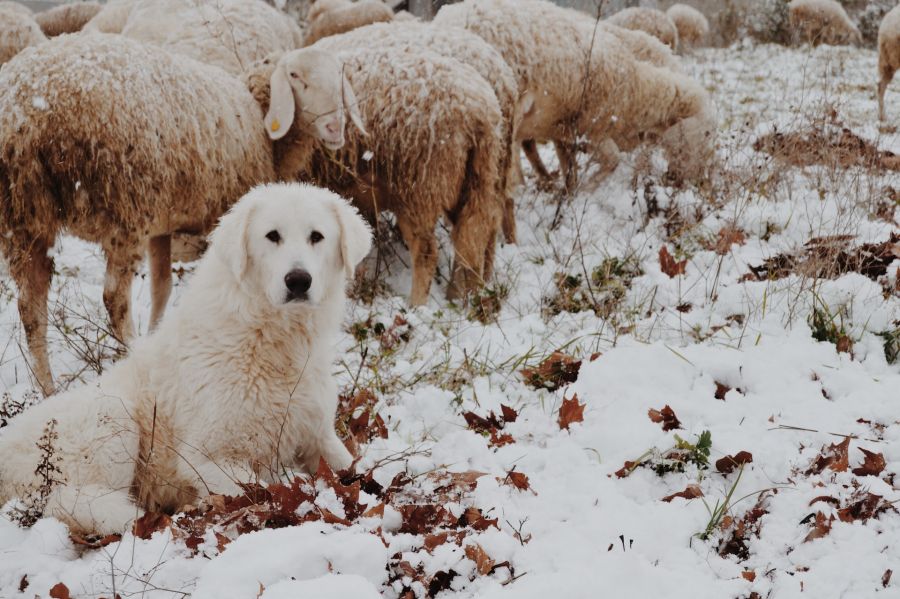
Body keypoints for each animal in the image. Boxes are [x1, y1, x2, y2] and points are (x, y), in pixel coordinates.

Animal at [0, 34, 358, 394]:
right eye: (295, 76)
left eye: (339, 75)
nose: (334, 127)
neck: (258, 118)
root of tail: (27, 113)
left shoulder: (162, 224)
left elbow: (161, 289)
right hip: (123, 208)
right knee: (113, 299)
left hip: (25, 218)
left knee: (30, 308)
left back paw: (47, 388)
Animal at [0, 184, 372, 536]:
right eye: (273, 236)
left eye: (316, 237)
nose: (298, 280)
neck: (268, 336)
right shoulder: (207, 457)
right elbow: (264, 492)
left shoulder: (317, 435)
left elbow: (358, 471)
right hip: (111, 416)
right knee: (69, 502)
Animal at [251, 40, 506, 308]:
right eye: (294, 75)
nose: (335, 127)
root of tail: (479, 109)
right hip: (477, 177)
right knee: (476, 233)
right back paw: (466, 295)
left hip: (421, 185)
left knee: (428, 250)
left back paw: (417, 304)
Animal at [436, 0, 716, 192]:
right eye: (706, 134)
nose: (694, 181)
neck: (636, 89)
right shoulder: (593, 128)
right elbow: (612, 161)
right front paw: (586, 190)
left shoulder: (564, 130)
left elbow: (569, 167)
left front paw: (569, 194)